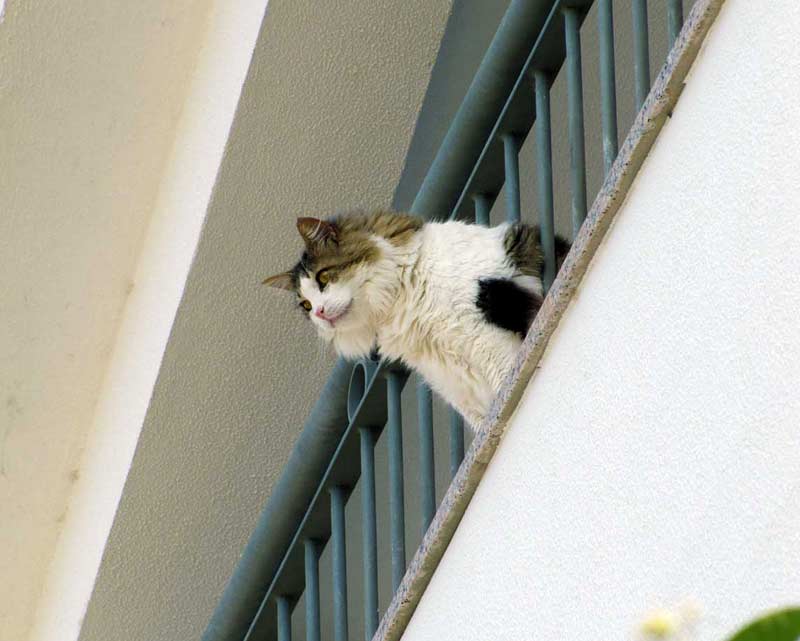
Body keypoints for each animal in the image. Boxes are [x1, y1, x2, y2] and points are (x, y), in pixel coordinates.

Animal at [264, 211, 568, 430]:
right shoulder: (452, 382)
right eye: (305, 305)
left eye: (324, 277)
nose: (318, 313)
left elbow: (504, 384)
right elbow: (481, 423)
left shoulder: (485, 338)